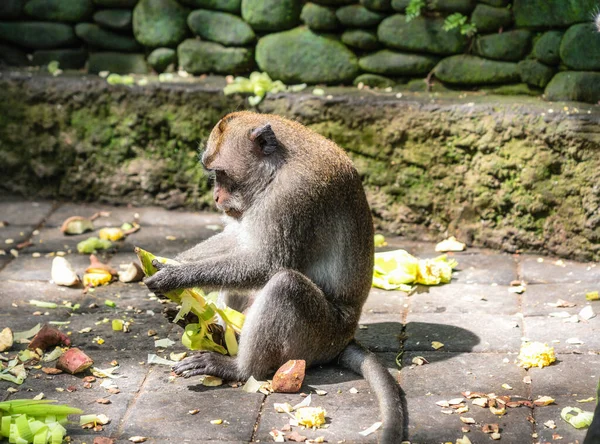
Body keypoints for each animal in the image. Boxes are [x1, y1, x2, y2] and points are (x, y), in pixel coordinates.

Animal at [144, 112, 408, 444]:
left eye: (221, 173)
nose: (216, 197)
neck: (276, 169)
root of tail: (346, 336)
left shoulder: (292, 195)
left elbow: (268, 263)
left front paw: (175, 277)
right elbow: (241, 241)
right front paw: (170, 264)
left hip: (319, 336)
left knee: (285, 285)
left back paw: (237, 368)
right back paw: (212, 331)